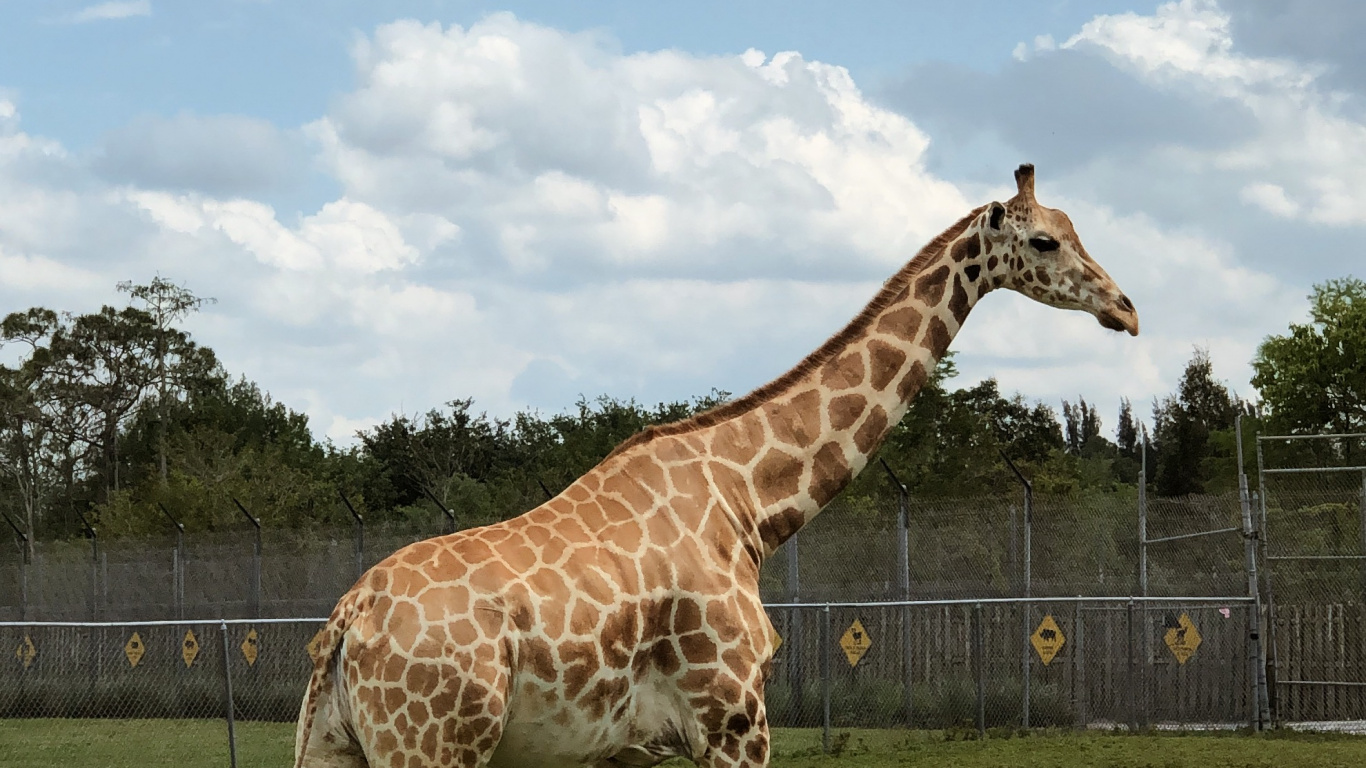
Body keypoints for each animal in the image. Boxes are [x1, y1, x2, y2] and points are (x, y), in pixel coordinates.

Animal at [294, 164, 1139, 768]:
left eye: (1075, 229)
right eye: (1045, 242)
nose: (1126, 309)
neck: (750, 503)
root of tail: (349, 620)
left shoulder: (628, 751)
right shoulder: (734, 718)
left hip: (337, 746)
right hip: (432, 745)